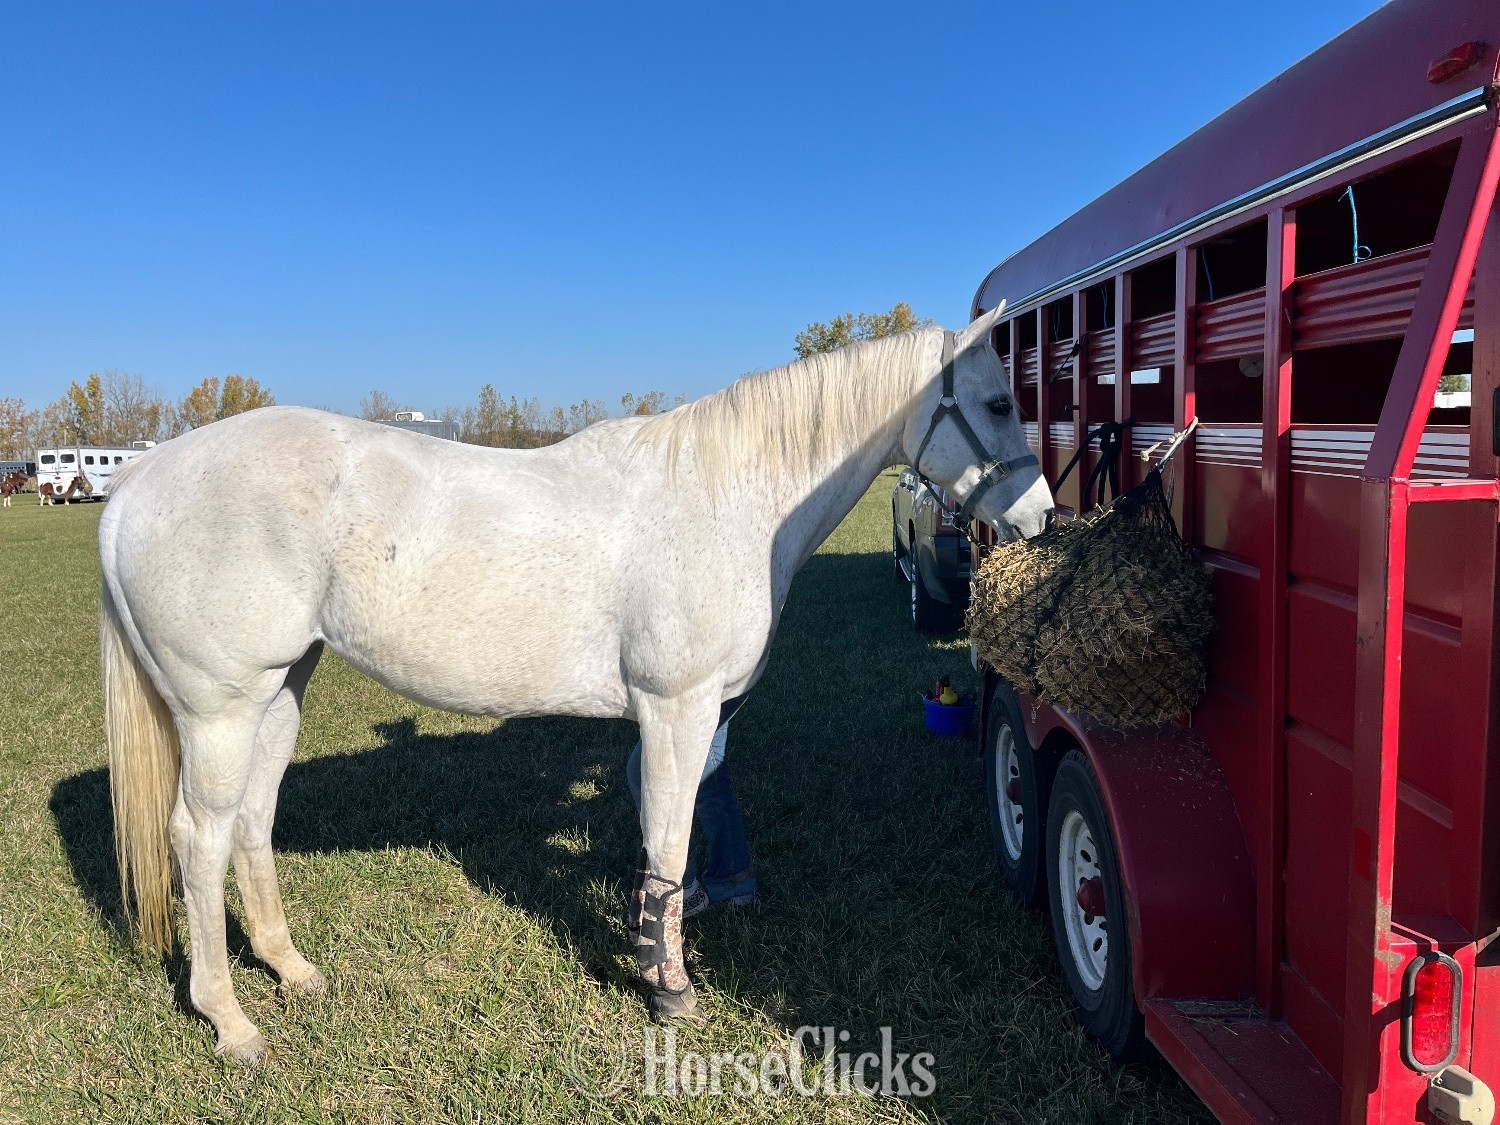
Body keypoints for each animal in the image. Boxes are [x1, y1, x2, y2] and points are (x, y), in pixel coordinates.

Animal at [99, 306, 1052, 1064]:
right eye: (1000, 402)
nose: (1042, 515)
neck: (727, 500)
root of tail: (135, 480)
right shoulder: (677, 705)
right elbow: (667, 836)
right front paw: (669, 986)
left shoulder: (688, 714)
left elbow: (667, 816)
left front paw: (656, 941)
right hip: (219, 709)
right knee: (198, 838)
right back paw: (230, 1020)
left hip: (280, 690)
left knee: (251, 823)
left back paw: (291, 969)